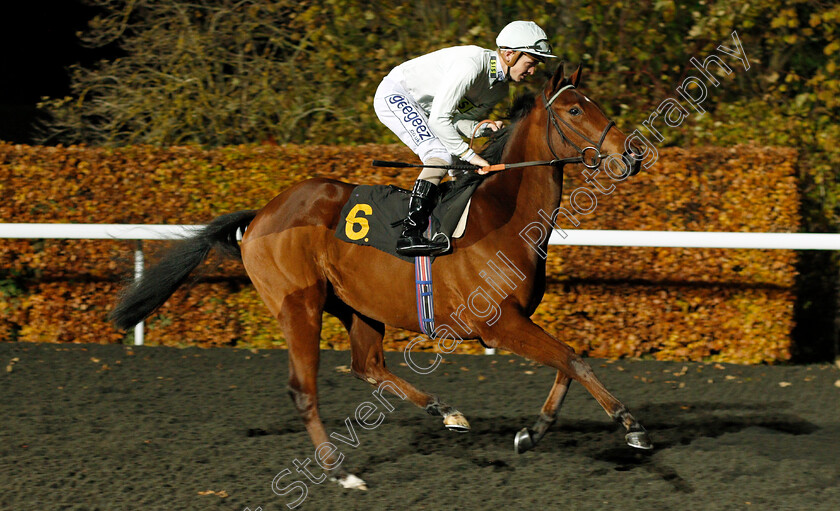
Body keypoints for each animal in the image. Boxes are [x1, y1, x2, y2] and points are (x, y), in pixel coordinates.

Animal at [111, 64, 648, 492]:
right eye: (575, 111)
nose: (632, 154)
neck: (502, 214)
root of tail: (261, 215)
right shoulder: (499, 325)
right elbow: (574, 359)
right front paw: (630, 424)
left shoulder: (516, 322)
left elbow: (565, 364)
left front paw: (531, 433)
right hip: (298, 306)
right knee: (304, 389)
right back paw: (339, 472)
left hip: (357, 306)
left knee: (367, 365)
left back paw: (444, 411)